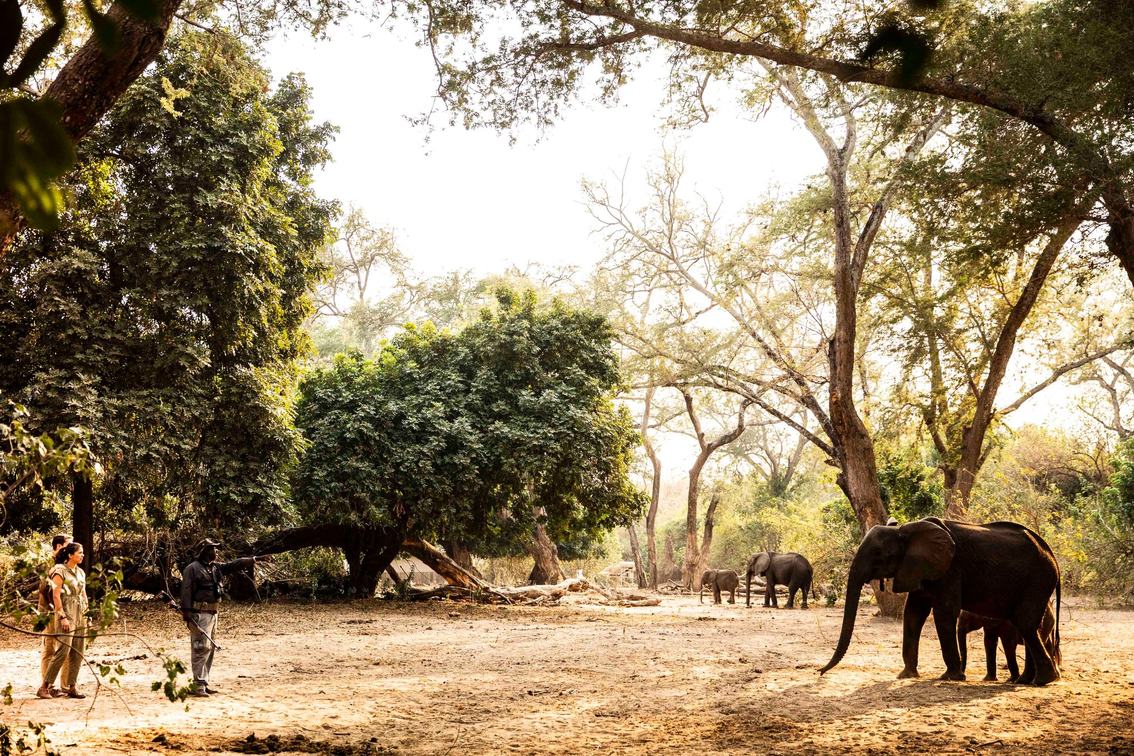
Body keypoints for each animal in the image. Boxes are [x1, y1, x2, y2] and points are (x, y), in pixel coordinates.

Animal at [820, 517, 1062, 685]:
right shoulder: (921, 568)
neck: (904, 530)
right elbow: (913, 612)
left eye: (879, 554)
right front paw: (906, 675)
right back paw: (1029, 680)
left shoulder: (950, 568)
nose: (820, 672)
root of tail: (1052, 554)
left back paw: (1041, 681)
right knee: (1030, 626)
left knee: (1025, 623)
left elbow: (944, 612)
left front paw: (950, 677)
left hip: (1038, 580)